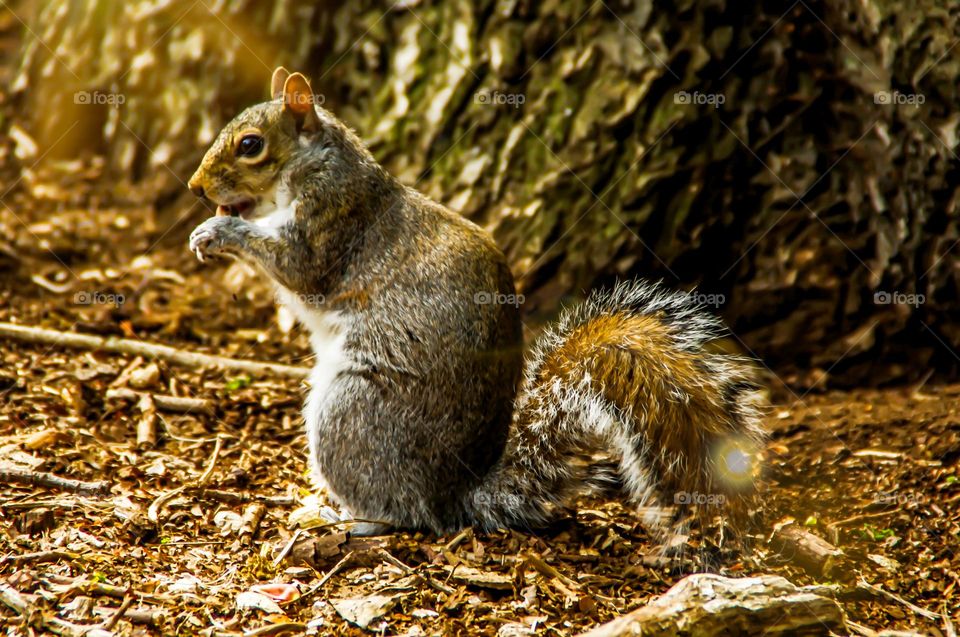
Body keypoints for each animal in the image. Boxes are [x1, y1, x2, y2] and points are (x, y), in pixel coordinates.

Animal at [186, 68, 764, 536]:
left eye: (251, 144)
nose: (195, 188)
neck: (315, 165)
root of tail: (454, 497)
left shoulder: (334, 220)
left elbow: (297, 267)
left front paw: (220, 231)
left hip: (351, 413)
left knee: (400, 512)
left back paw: (341, 516)